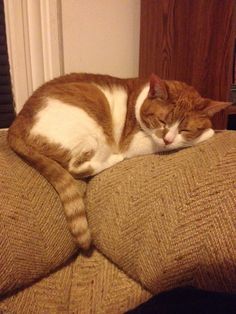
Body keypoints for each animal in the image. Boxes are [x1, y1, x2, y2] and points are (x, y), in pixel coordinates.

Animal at [7, 72, 230, 249]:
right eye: (162, 121)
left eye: (185, 129)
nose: (167, 139)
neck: (139, 100)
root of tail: (15, 125)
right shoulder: (133, 142)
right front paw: (210, 132)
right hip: (93, 126)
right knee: (78, 167)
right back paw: (114, 158)